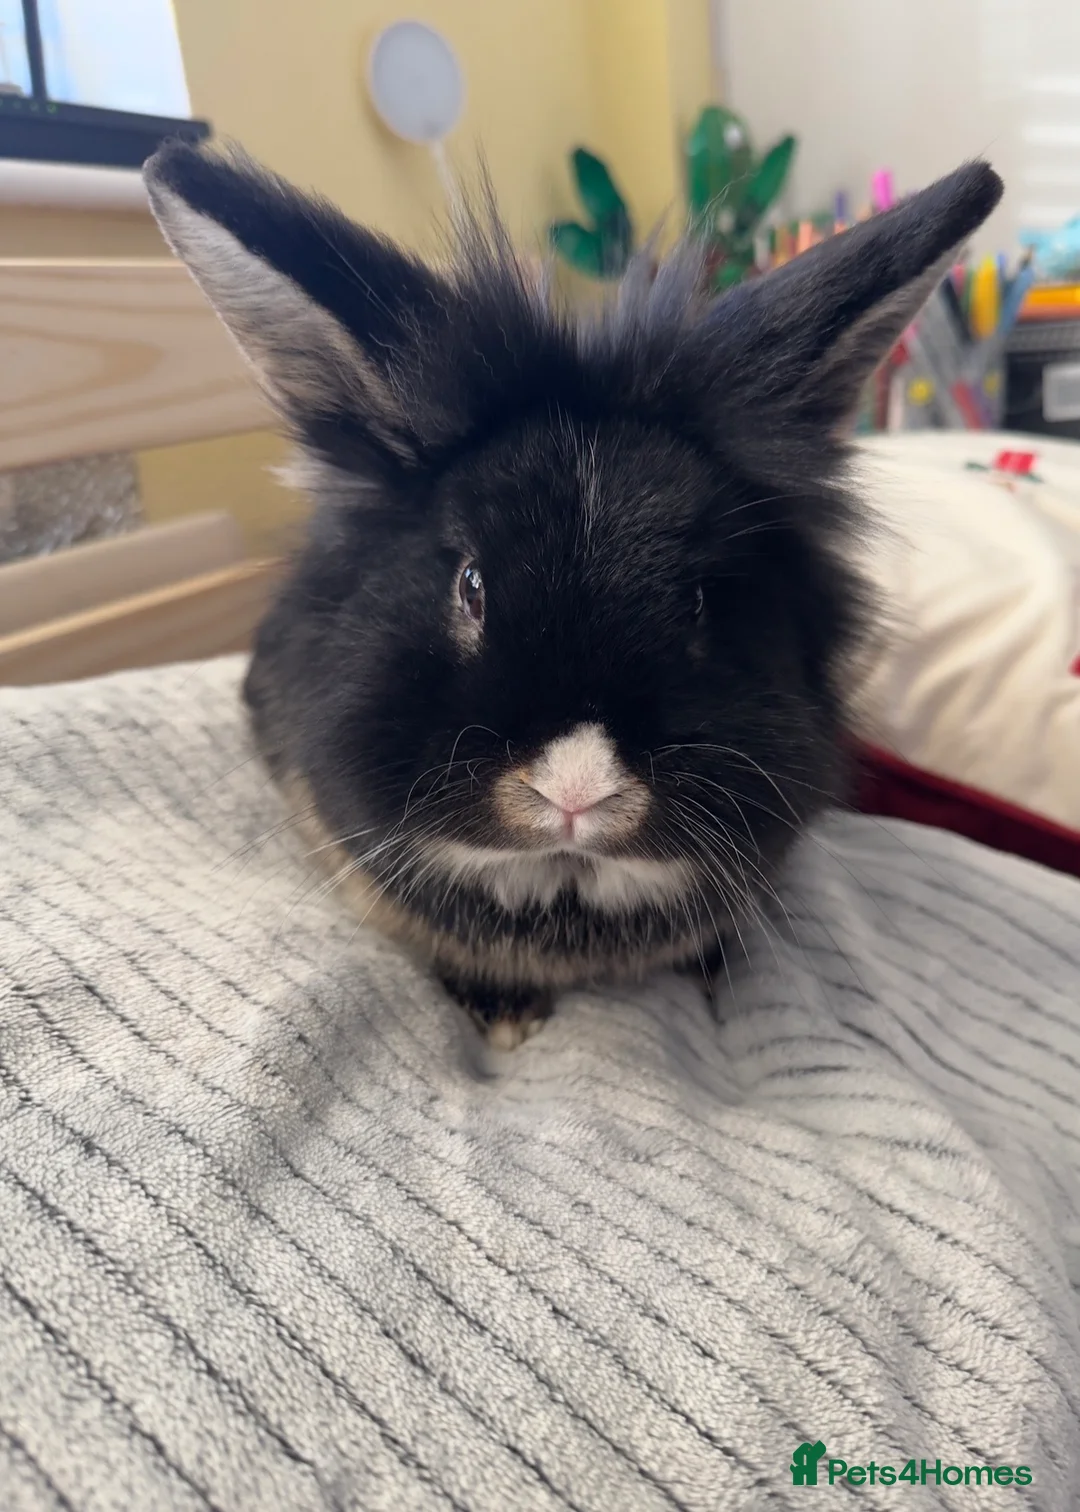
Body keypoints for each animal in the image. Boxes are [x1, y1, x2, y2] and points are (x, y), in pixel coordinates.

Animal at [144, 142, 1002, 1046]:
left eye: (702, 599)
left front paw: (712, 974)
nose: (576, 789)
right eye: (470, 585)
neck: (565, 886)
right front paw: (504, 1019)